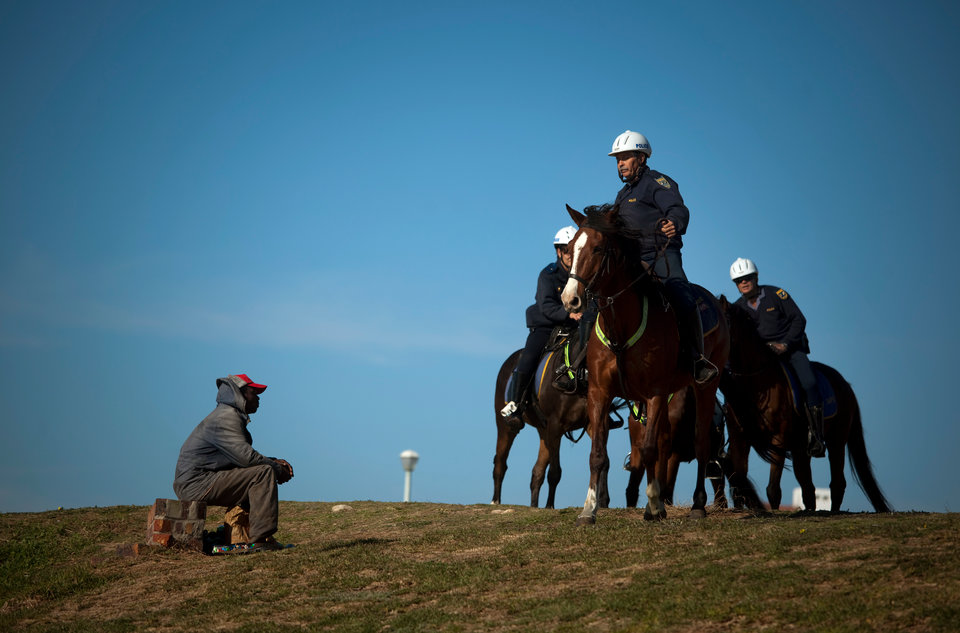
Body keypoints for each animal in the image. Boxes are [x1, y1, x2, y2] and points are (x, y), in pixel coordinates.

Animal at [564, 204, 728, 524]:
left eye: (598, 248)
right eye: (571, 247)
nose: (570, 299)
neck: (621, 326)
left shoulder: (654, 392)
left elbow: (651, 449)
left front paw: (653, 506)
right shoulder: (599, 393)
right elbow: (598, 454)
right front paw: (589, 510)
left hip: (706, 386)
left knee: (700, 443)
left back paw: (697, 506)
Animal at [720, 298, 892, 512]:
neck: (756, 382)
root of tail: (845, 385)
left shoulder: (778, 440)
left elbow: (773, 489)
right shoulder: (740, 438)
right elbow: (739, 480)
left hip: (836, 441)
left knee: (836, 483)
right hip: (801, 448)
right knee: (808, 487)